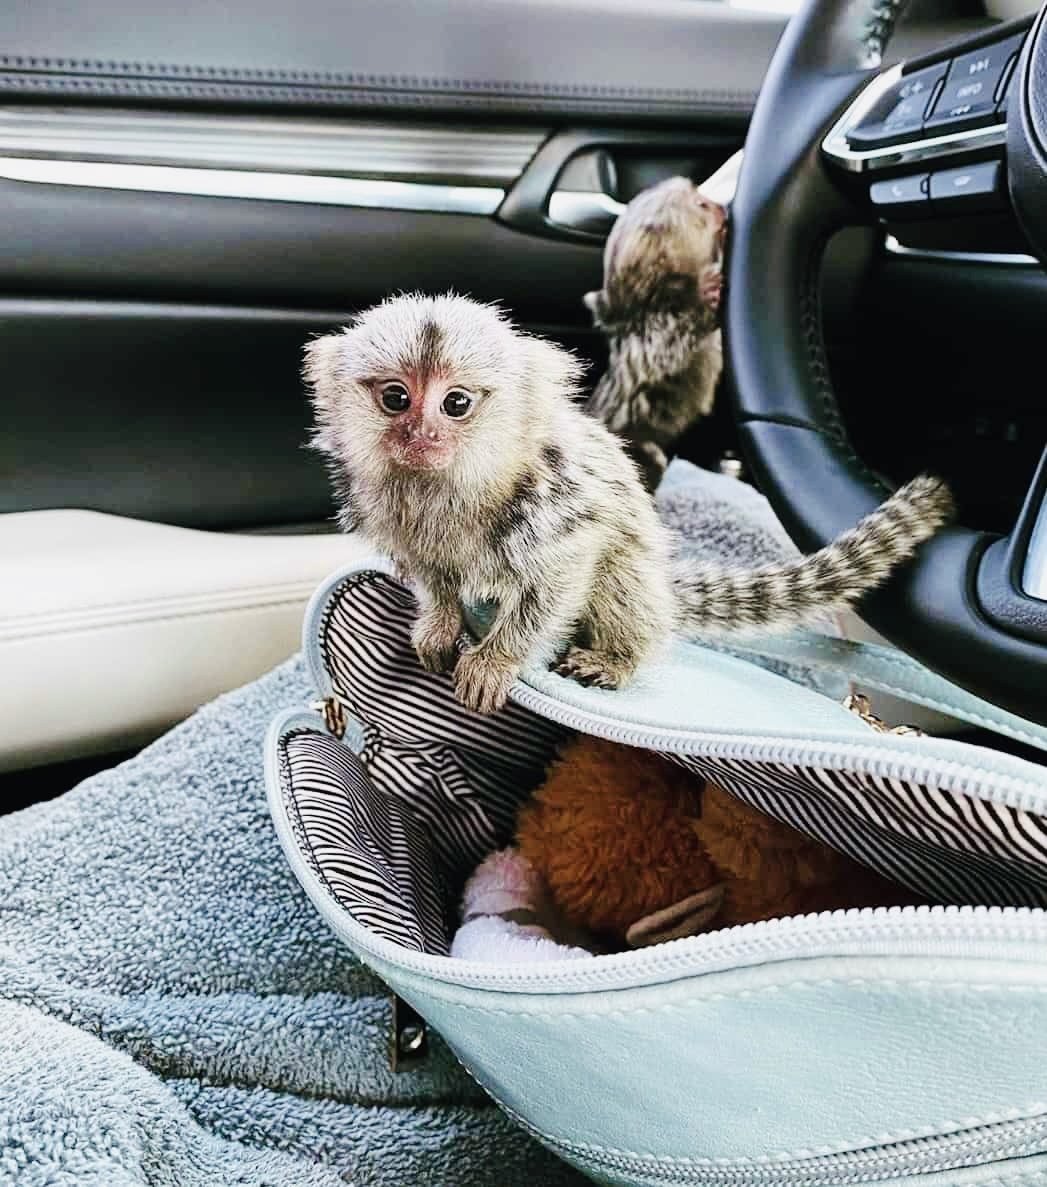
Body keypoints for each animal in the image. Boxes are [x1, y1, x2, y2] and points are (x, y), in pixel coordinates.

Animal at [304, 292, 954, 716]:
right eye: (396, 398)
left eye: (456, 403)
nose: (420, 434)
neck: (450, 487)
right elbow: (432, 575)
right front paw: (440, 624)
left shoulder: (554, 508)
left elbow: (559, 581)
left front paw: (495, 661)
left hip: (638, 580)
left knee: (618, 579)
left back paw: (617, 659)